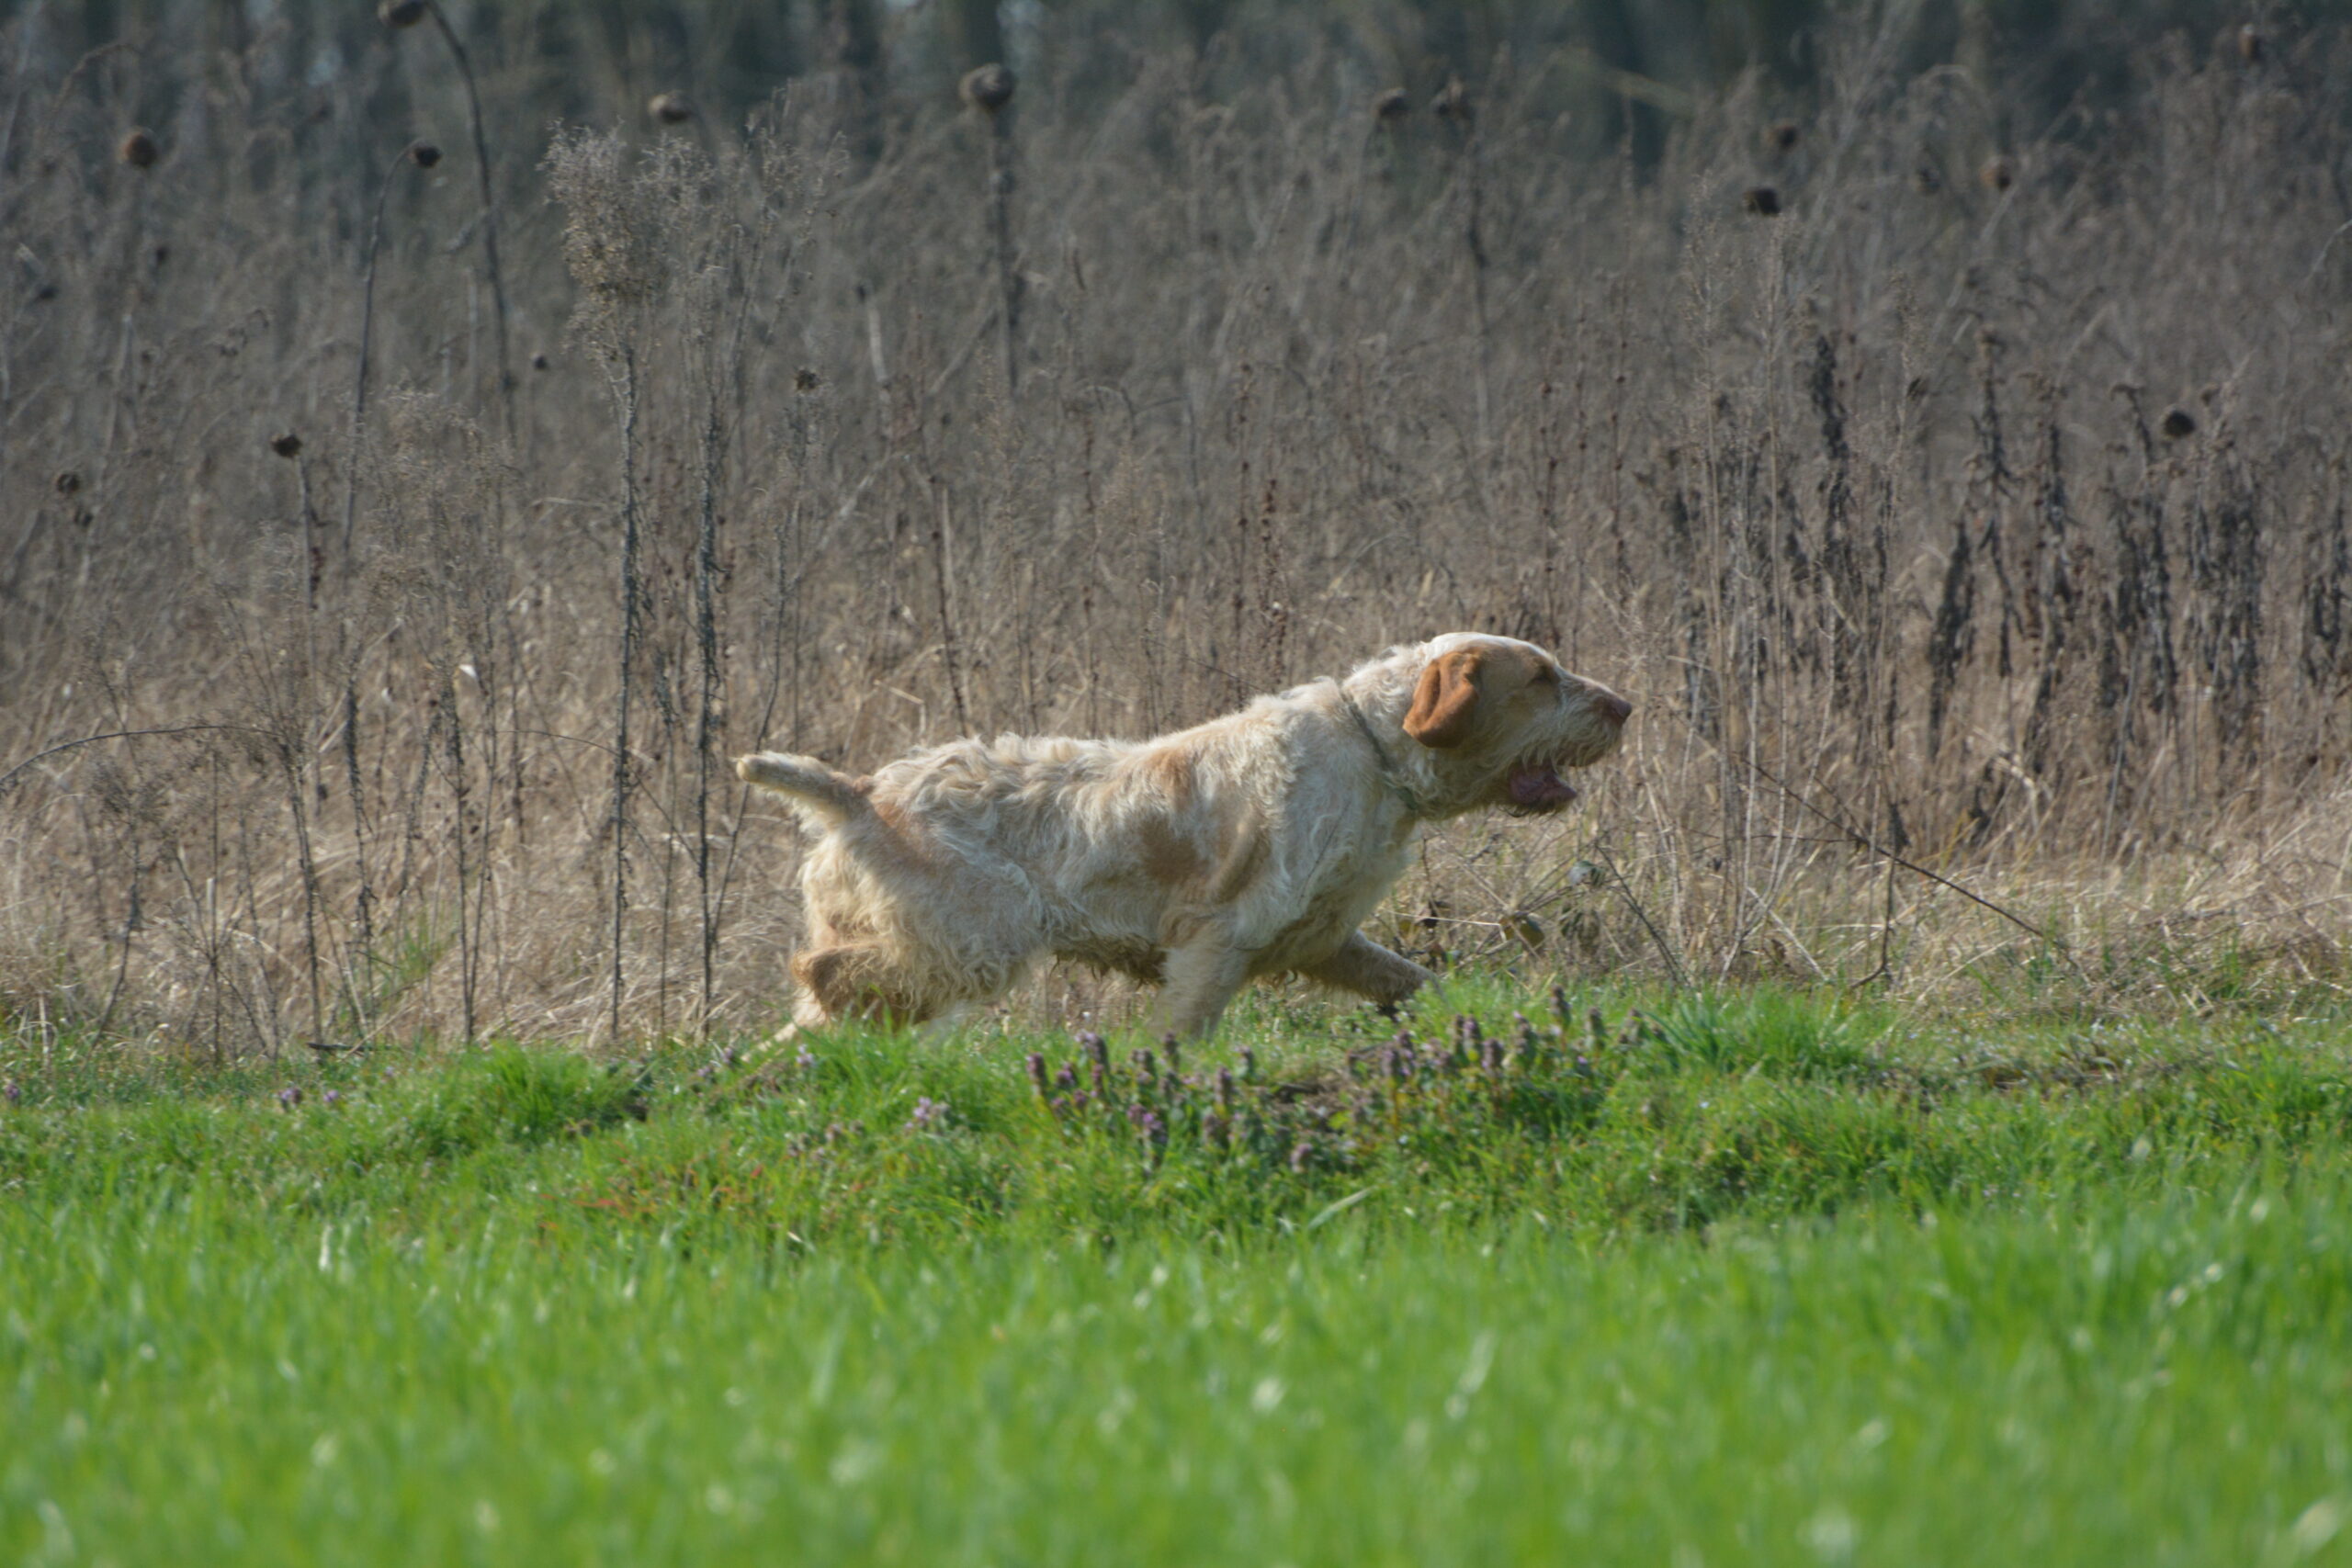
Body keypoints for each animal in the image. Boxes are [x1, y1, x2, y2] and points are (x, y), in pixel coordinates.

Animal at [737, 633, 1630, 1038]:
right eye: (1541, 677)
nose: (1625, 705)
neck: (1373, 753)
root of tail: (858, 794)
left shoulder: (1326, 940)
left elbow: (1421, 983)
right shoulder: (1217, 940)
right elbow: (1185, 1029)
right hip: (975, 943)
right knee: (822, 973)